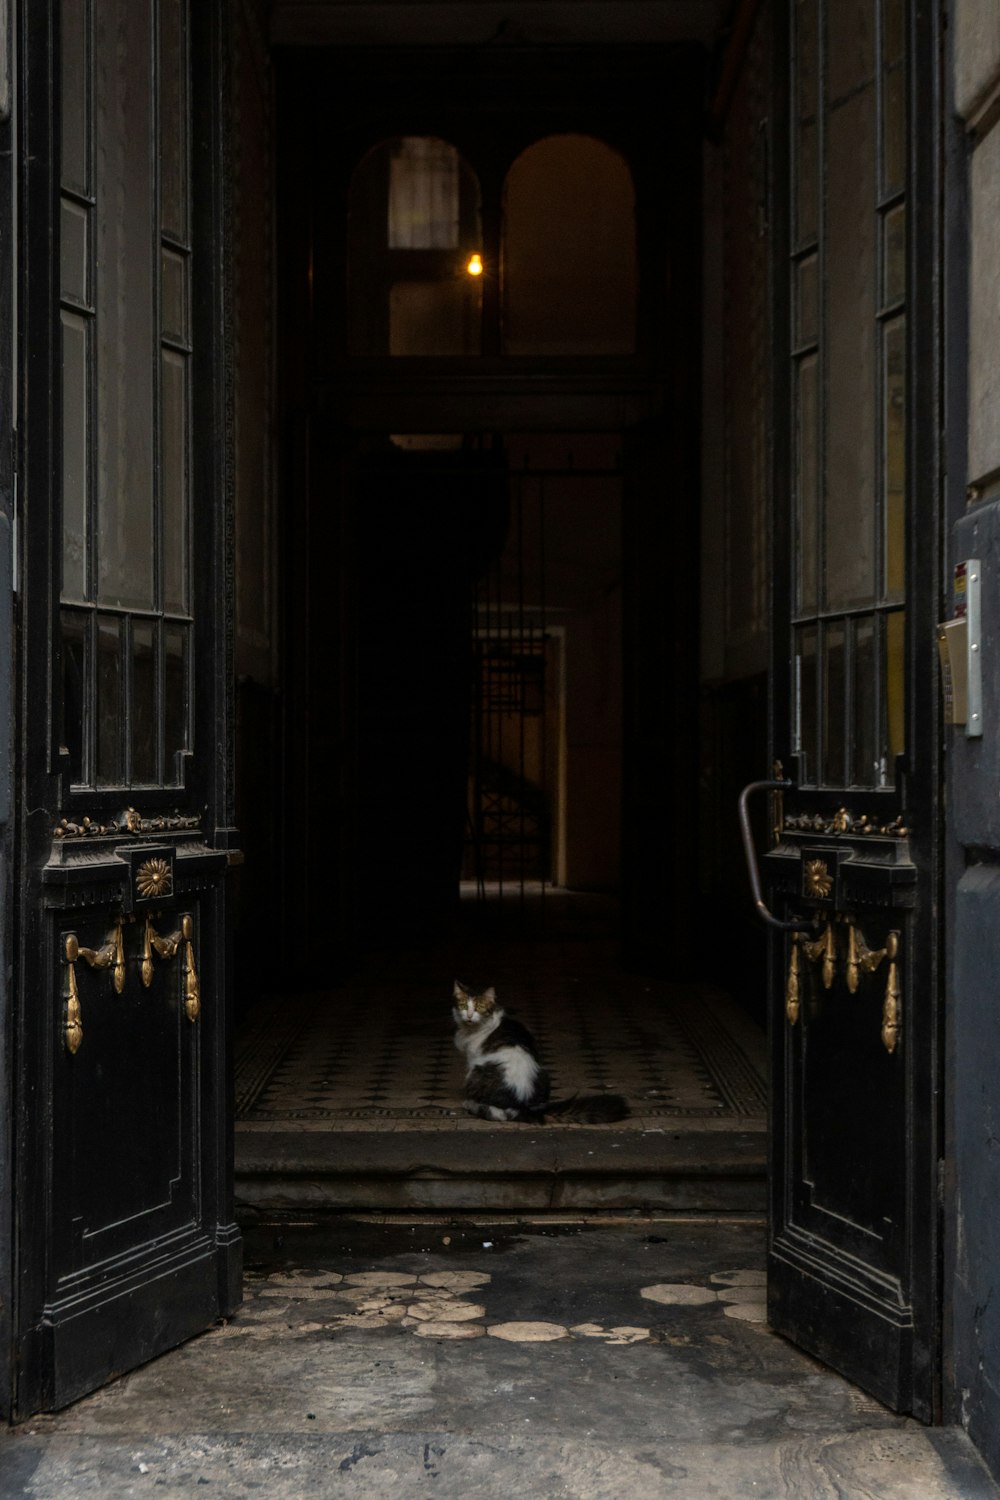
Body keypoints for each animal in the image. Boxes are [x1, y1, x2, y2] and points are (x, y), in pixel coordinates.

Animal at [452, 978, 629, 1122]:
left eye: (479, 1007)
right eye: (463, 1006)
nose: (468, 1015)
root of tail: (521, 1104)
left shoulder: (472, 1057)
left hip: (475, 1071)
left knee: (496, 1114)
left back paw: (470, 1104)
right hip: (544, 1074)